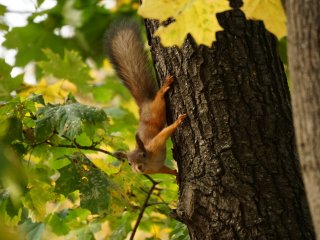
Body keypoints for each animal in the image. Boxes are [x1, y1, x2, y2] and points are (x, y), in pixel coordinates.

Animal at [104, 21, 186, 175]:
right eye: (129, 163)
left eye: (143, 154)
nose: (138, 169)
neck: (150, 163)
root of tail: (144, 104)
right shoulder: (156, 169)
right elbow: (166, 170)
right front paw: (177, 175)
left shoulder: (155, 144)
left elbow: (165, 133)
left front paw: (178, 121)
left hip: (157, 108)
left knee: (159, 98)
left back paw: (164, 87)